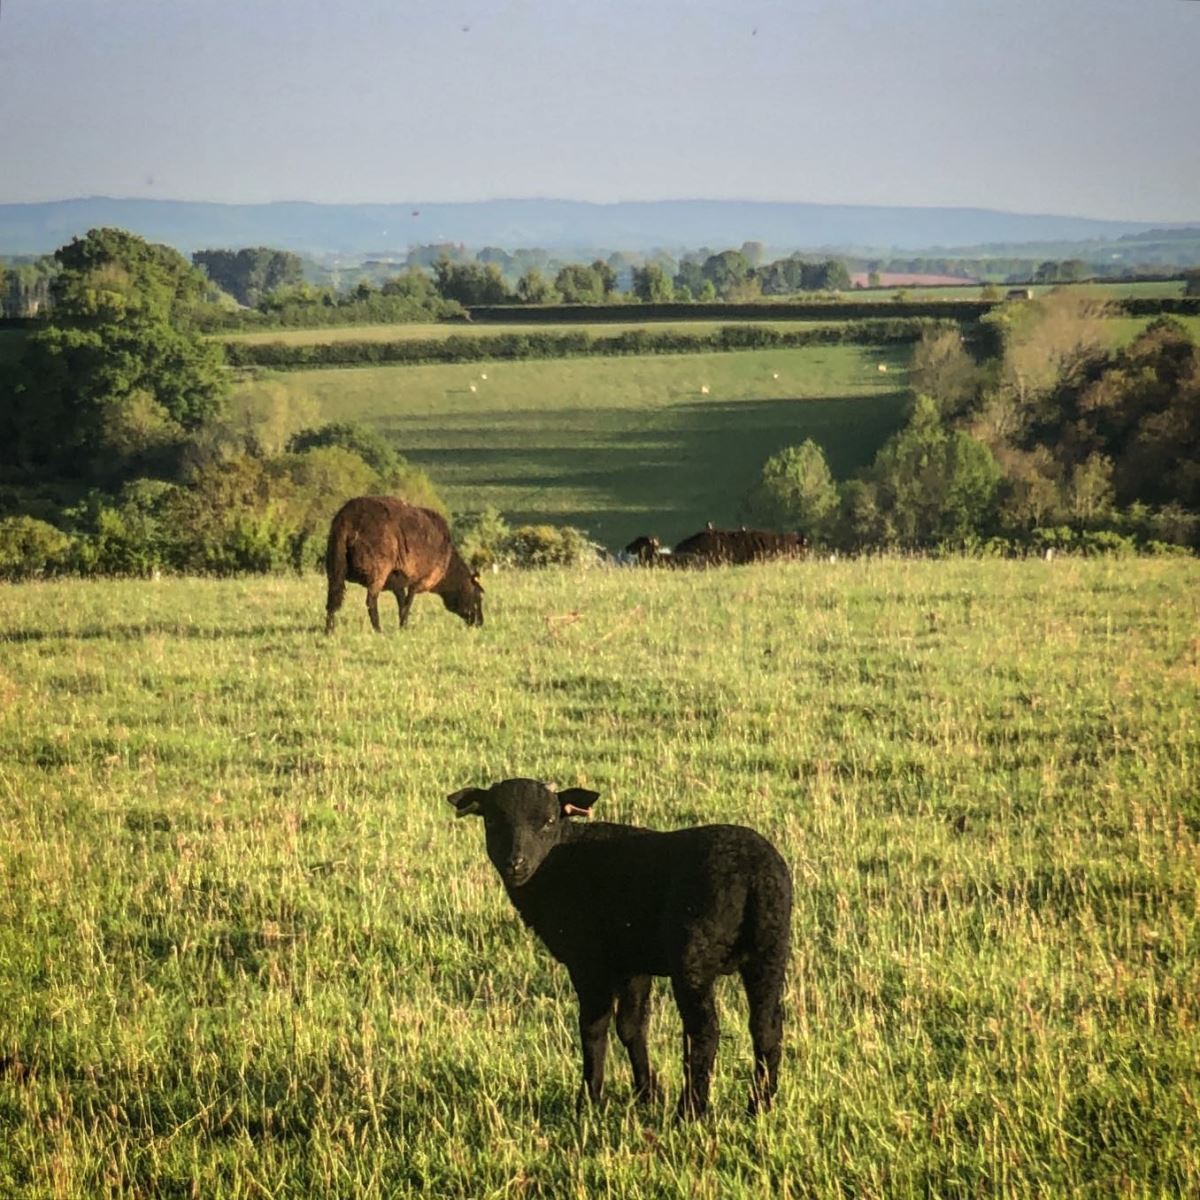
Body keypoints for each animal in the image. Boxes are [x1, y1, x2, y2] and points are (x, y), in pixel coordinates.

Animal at [326, 492, 484, 633]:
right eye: (479, 596)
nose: (480, 623)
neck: (448, 569)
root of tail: (349, 518)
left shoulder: (397, 580)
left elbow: (401, 604)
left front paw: (403, 627)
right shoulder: (418, 580)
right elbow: (407, 604)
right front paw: (404, 628)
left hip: (335, 564)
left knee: (333, 599)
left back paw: (329, 631)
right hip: (378, 569)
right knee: (371, 601)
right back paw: (378, 631)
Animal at [446, 777, 792, 1113]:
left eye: (548, 821)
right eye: (492, 820)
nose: (515, 863)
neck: (557, 861)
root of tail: (755, 876)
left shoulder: (588, 961)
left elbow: (593, 1027)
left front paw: (588, 1102)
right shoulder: (632, 963)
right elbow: (631, 1026)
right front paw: (646, 1094)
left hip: (694, 956)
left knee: (704, 1033)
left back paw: (690, 1112)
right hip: (770, 951)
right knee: (766, 1027)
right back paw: (759, 1106)